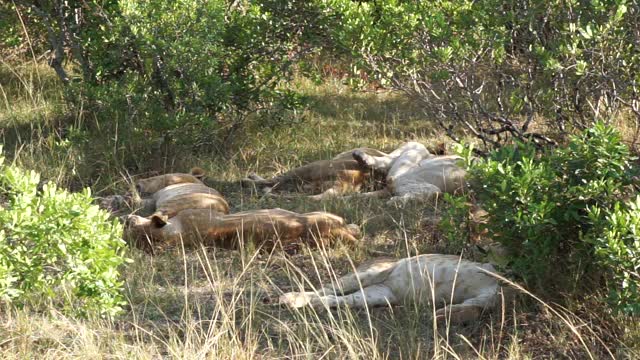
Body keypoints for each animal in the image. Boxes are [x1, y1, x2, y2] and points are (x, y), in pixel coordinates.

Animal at [280, 253, 500, 324]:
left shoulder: (485, 298)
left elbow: (474, 307)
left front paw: (444, 315)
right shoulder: (487, 270)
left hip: (378, 294)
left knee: (339, 299)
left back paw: (316, 305)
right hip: (373, 272)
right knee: (325, 289)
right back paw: (291, 298)